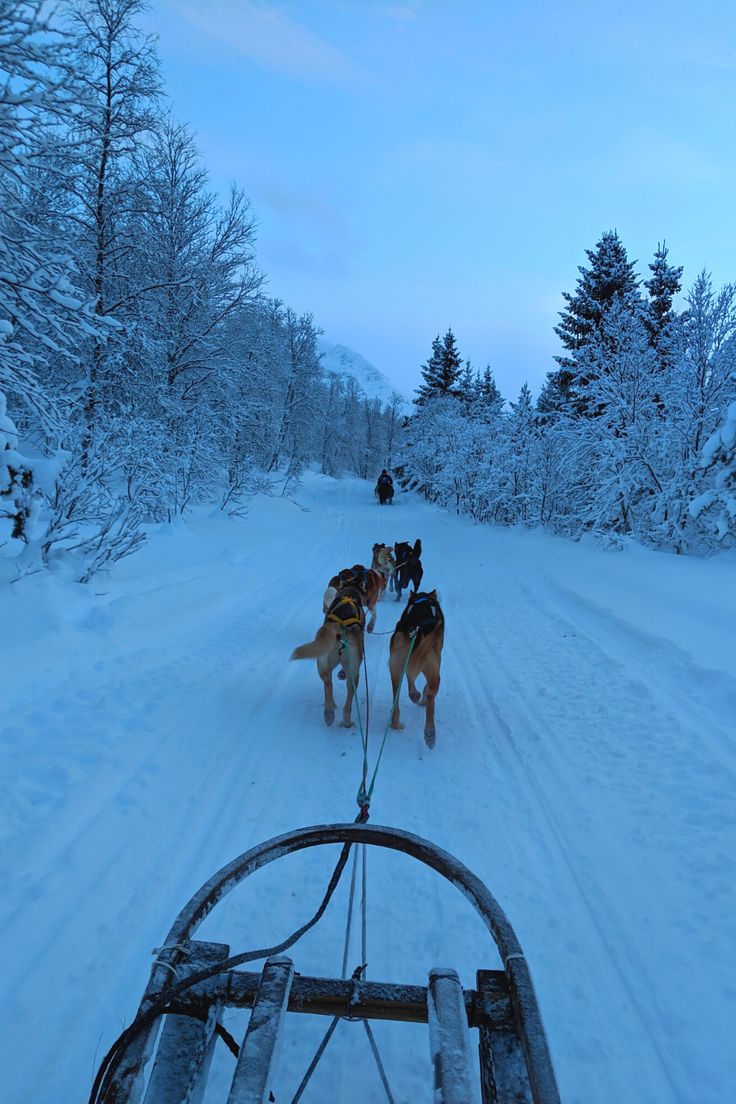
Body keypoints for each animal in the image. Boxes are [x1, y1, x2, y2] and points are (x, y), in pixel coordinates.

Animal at [291, 582, 366, 728]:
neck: (349, 593)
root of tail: (339, 627)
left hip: (325, 666)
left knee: (328, 686)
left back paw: (330, 713)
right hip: (353, 673)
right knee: (343, 695)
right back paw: (344, 721)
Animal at [388, 591, 445, 746]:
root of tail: (416, 628)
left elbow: (410, 677)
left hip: (396, 668)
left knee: (397, 696)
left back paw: (396, 722)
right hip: (434, 673)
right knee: (430, 698)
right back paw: (430, 733)